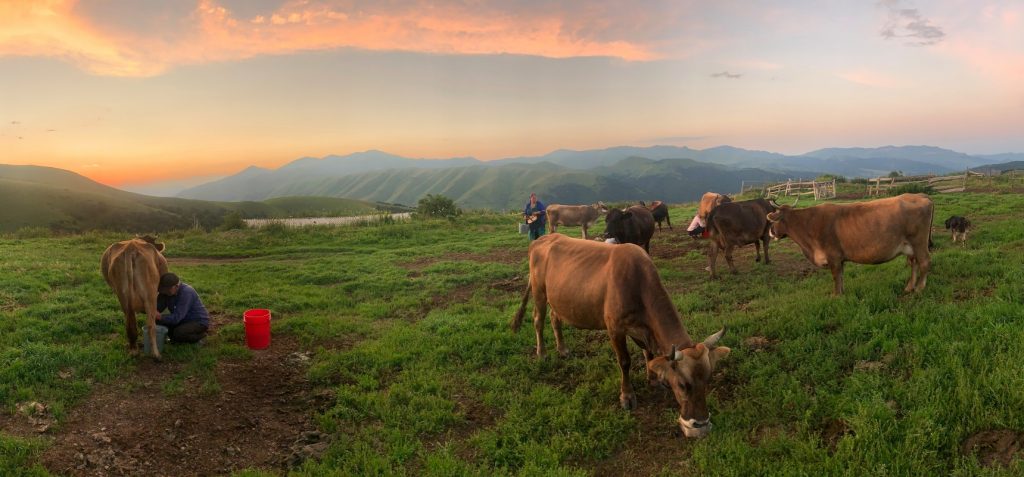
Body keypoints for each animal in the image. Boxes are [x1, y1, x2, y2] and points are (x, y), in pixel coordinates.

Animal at [512, 233, 729, 438]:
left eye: (708, 379)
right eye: (683, 385)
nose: (700, 426)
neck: (638, 284)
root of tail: (542, 239)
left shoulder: (643, 330)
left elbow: (649, 354)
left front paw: (653, 379)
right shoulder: (615, 328)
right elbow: (625, 362)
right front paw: (627, 396)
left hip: (558, 298)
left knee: (554, 317)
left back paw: (563, 349)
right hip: (539, 292)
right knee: (538, 320)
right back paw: (542, 353)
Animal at [765, 192, 933, 294]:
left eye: (773, 220)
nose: (770, 232)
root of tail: (921, 196)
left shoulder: (833, 257)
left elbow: (835, 276)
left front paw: (836, 295)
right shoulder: (840, 259)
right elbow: (841, 276)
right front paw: (842, 292)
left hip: (919, 243)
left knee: (924, 262)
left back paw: (919, 288)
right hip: (910, 246)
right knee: (914, 263)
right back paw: (909, 287)